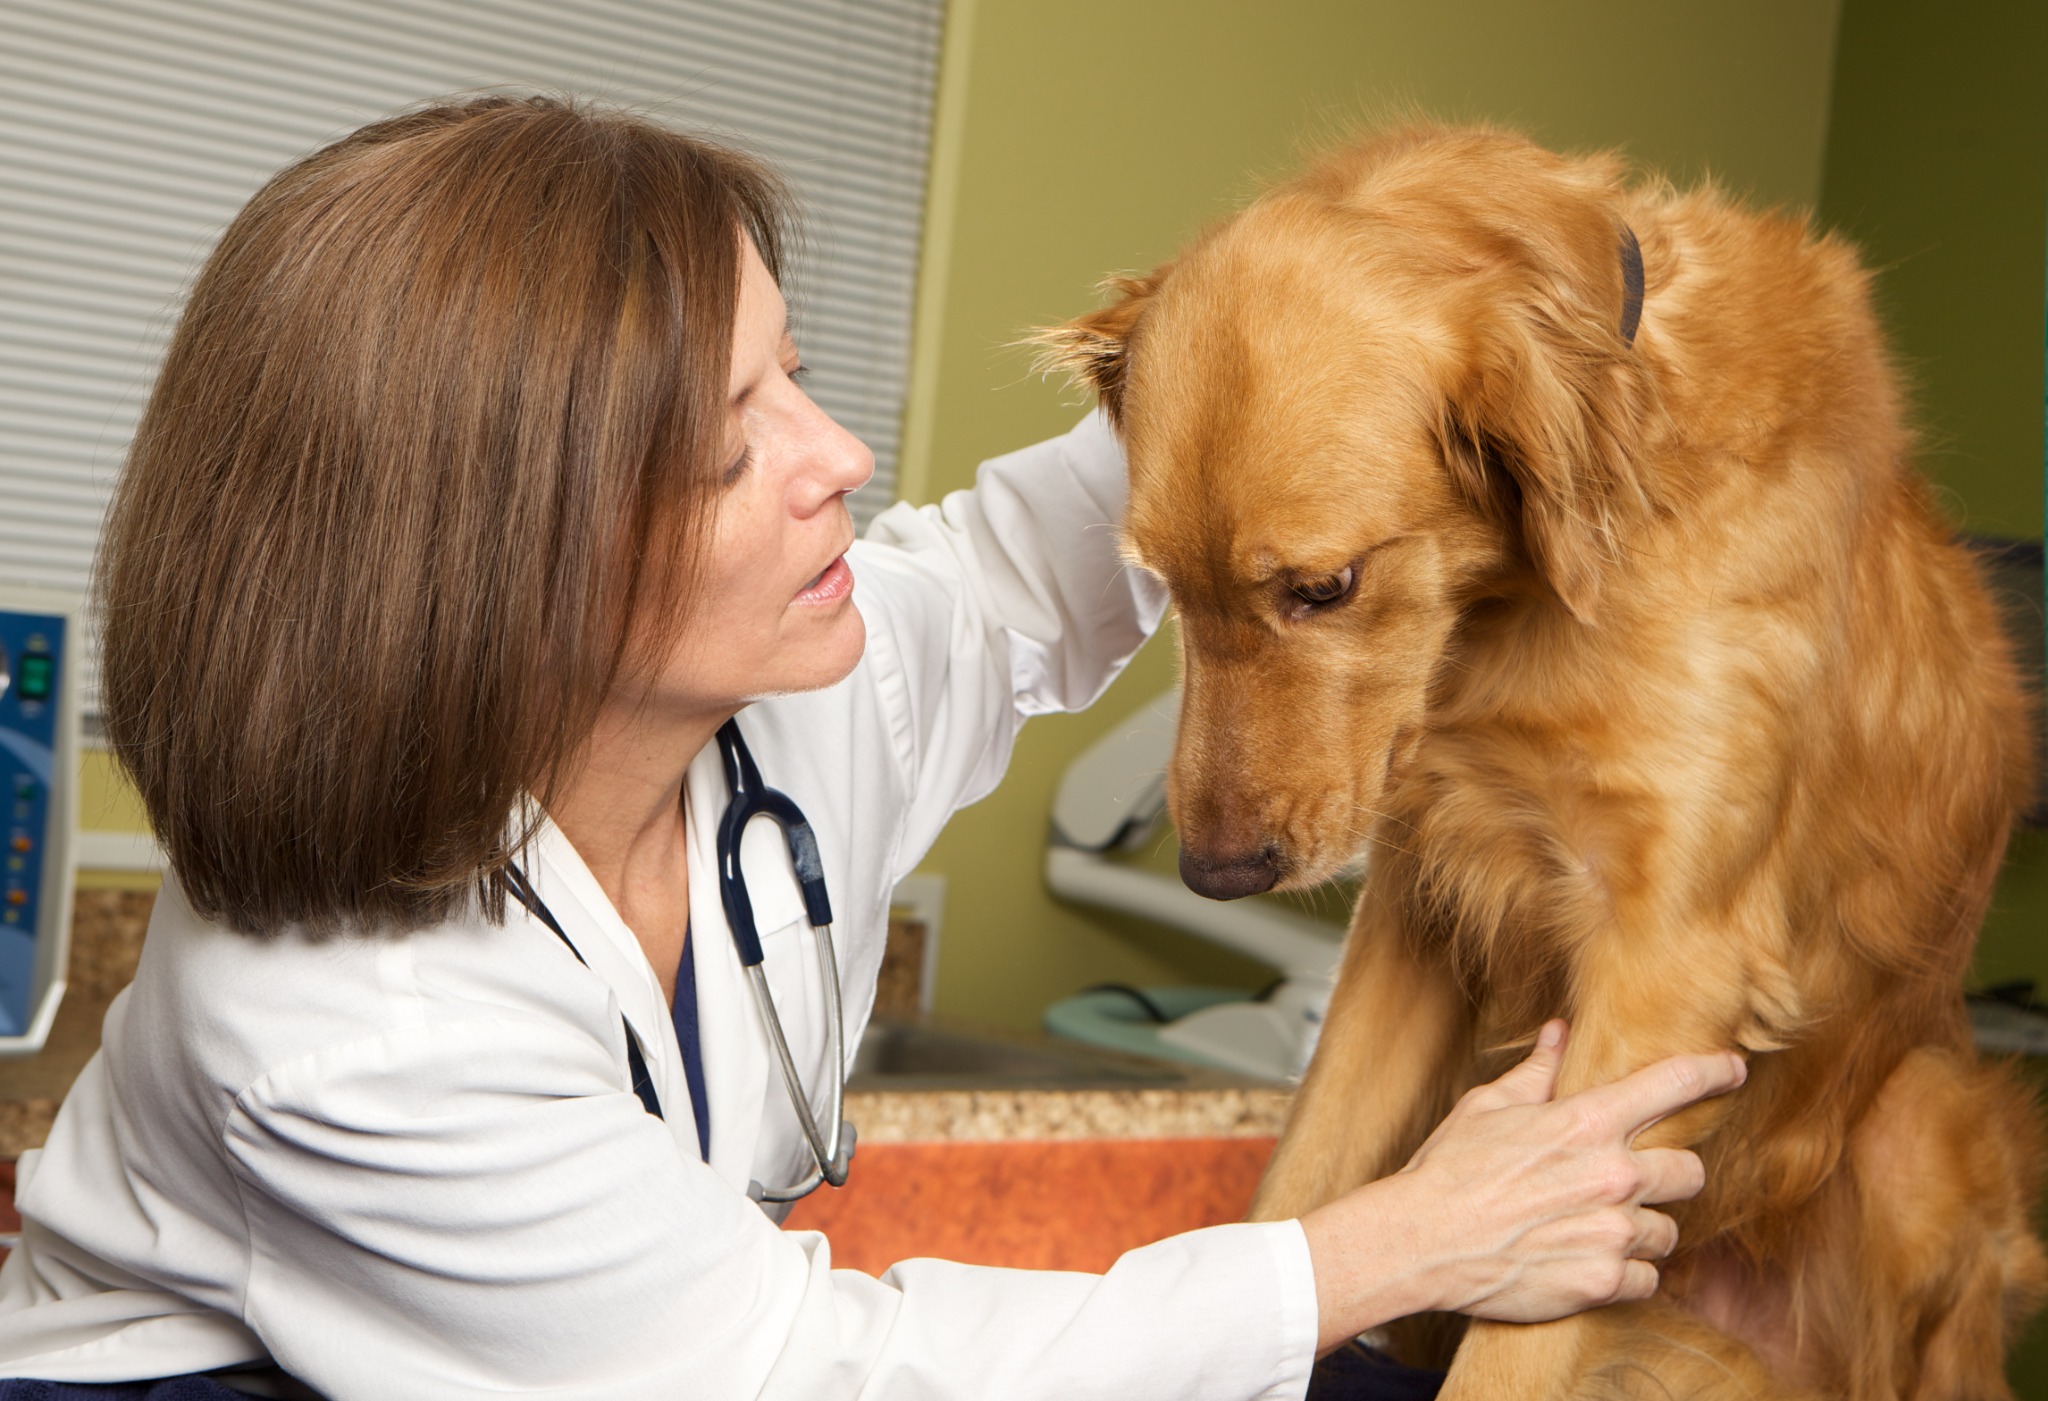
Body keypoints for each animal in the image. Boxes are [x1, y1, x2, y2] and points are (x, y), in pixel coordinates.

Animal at [1048, 125, 2039, 1392]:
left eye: (1324, 587)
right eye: (1163, 588)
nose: (1215, 876)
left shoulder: (1667, 969)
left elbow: (1509, 1354)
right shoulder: (1416, 904)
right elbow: (1303, 1187)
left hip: (1924, 1129)